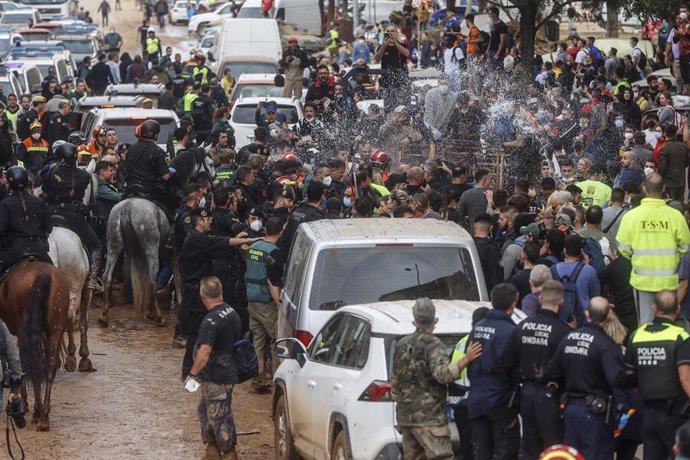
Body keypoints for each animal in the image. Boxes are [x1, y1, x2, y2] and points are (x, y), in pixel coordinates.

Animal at [0, 262, 69, 432]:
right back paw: (43, 415)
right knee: (48, 366)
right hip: (55, 328)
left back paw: (36, 410)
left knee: (29, 362)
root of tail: (43, 273)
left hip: (25, 327)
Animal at [48, 227, 94, 374]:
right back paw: (71, 358)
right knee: (69, 317)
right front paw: (84, 357)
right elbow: (83, 323)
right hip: (74, 287)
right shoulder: (86, 290)